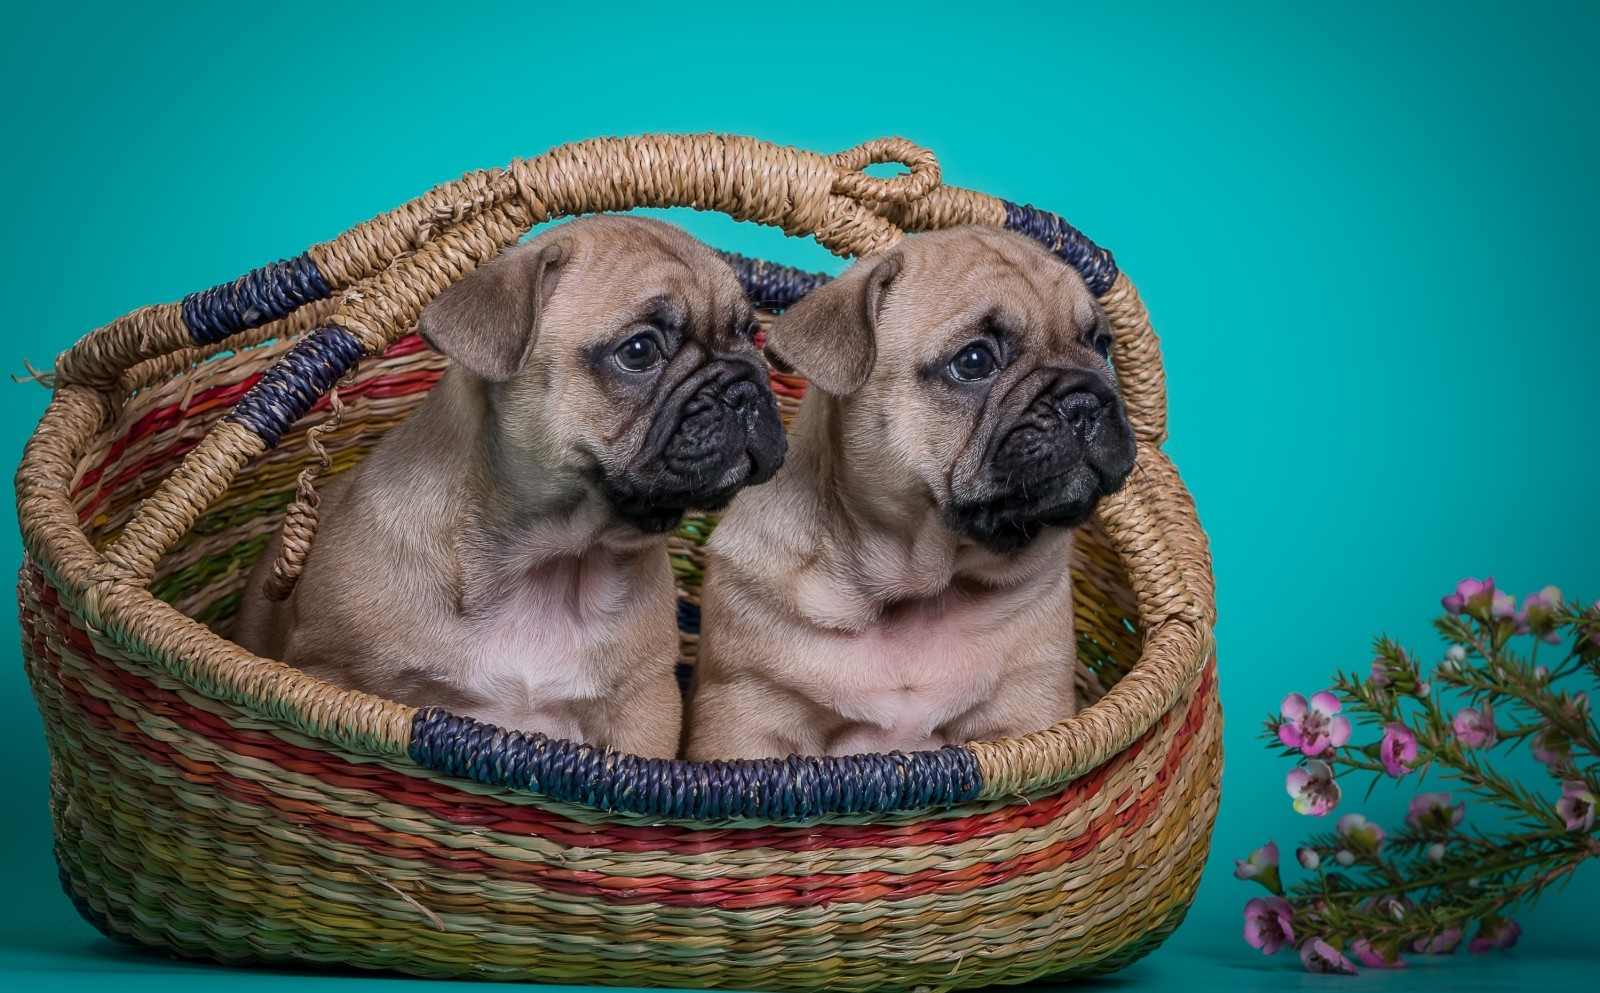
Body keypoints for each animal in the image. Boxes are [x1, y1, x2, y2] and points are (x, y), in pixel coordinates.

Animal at [233, 212, 787, 754]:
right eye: (638, 351)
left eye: (751, 335)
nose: (744, 389)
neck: (551, 558)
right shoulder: (330, 671)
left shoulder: (643, 710)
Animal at [688, 223, 1139, 754]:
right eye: (974, 361)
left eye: (1101, 344)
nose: (1086, 398)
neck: (916, 590)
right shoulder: (747, 715)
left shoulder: (1029, 707)